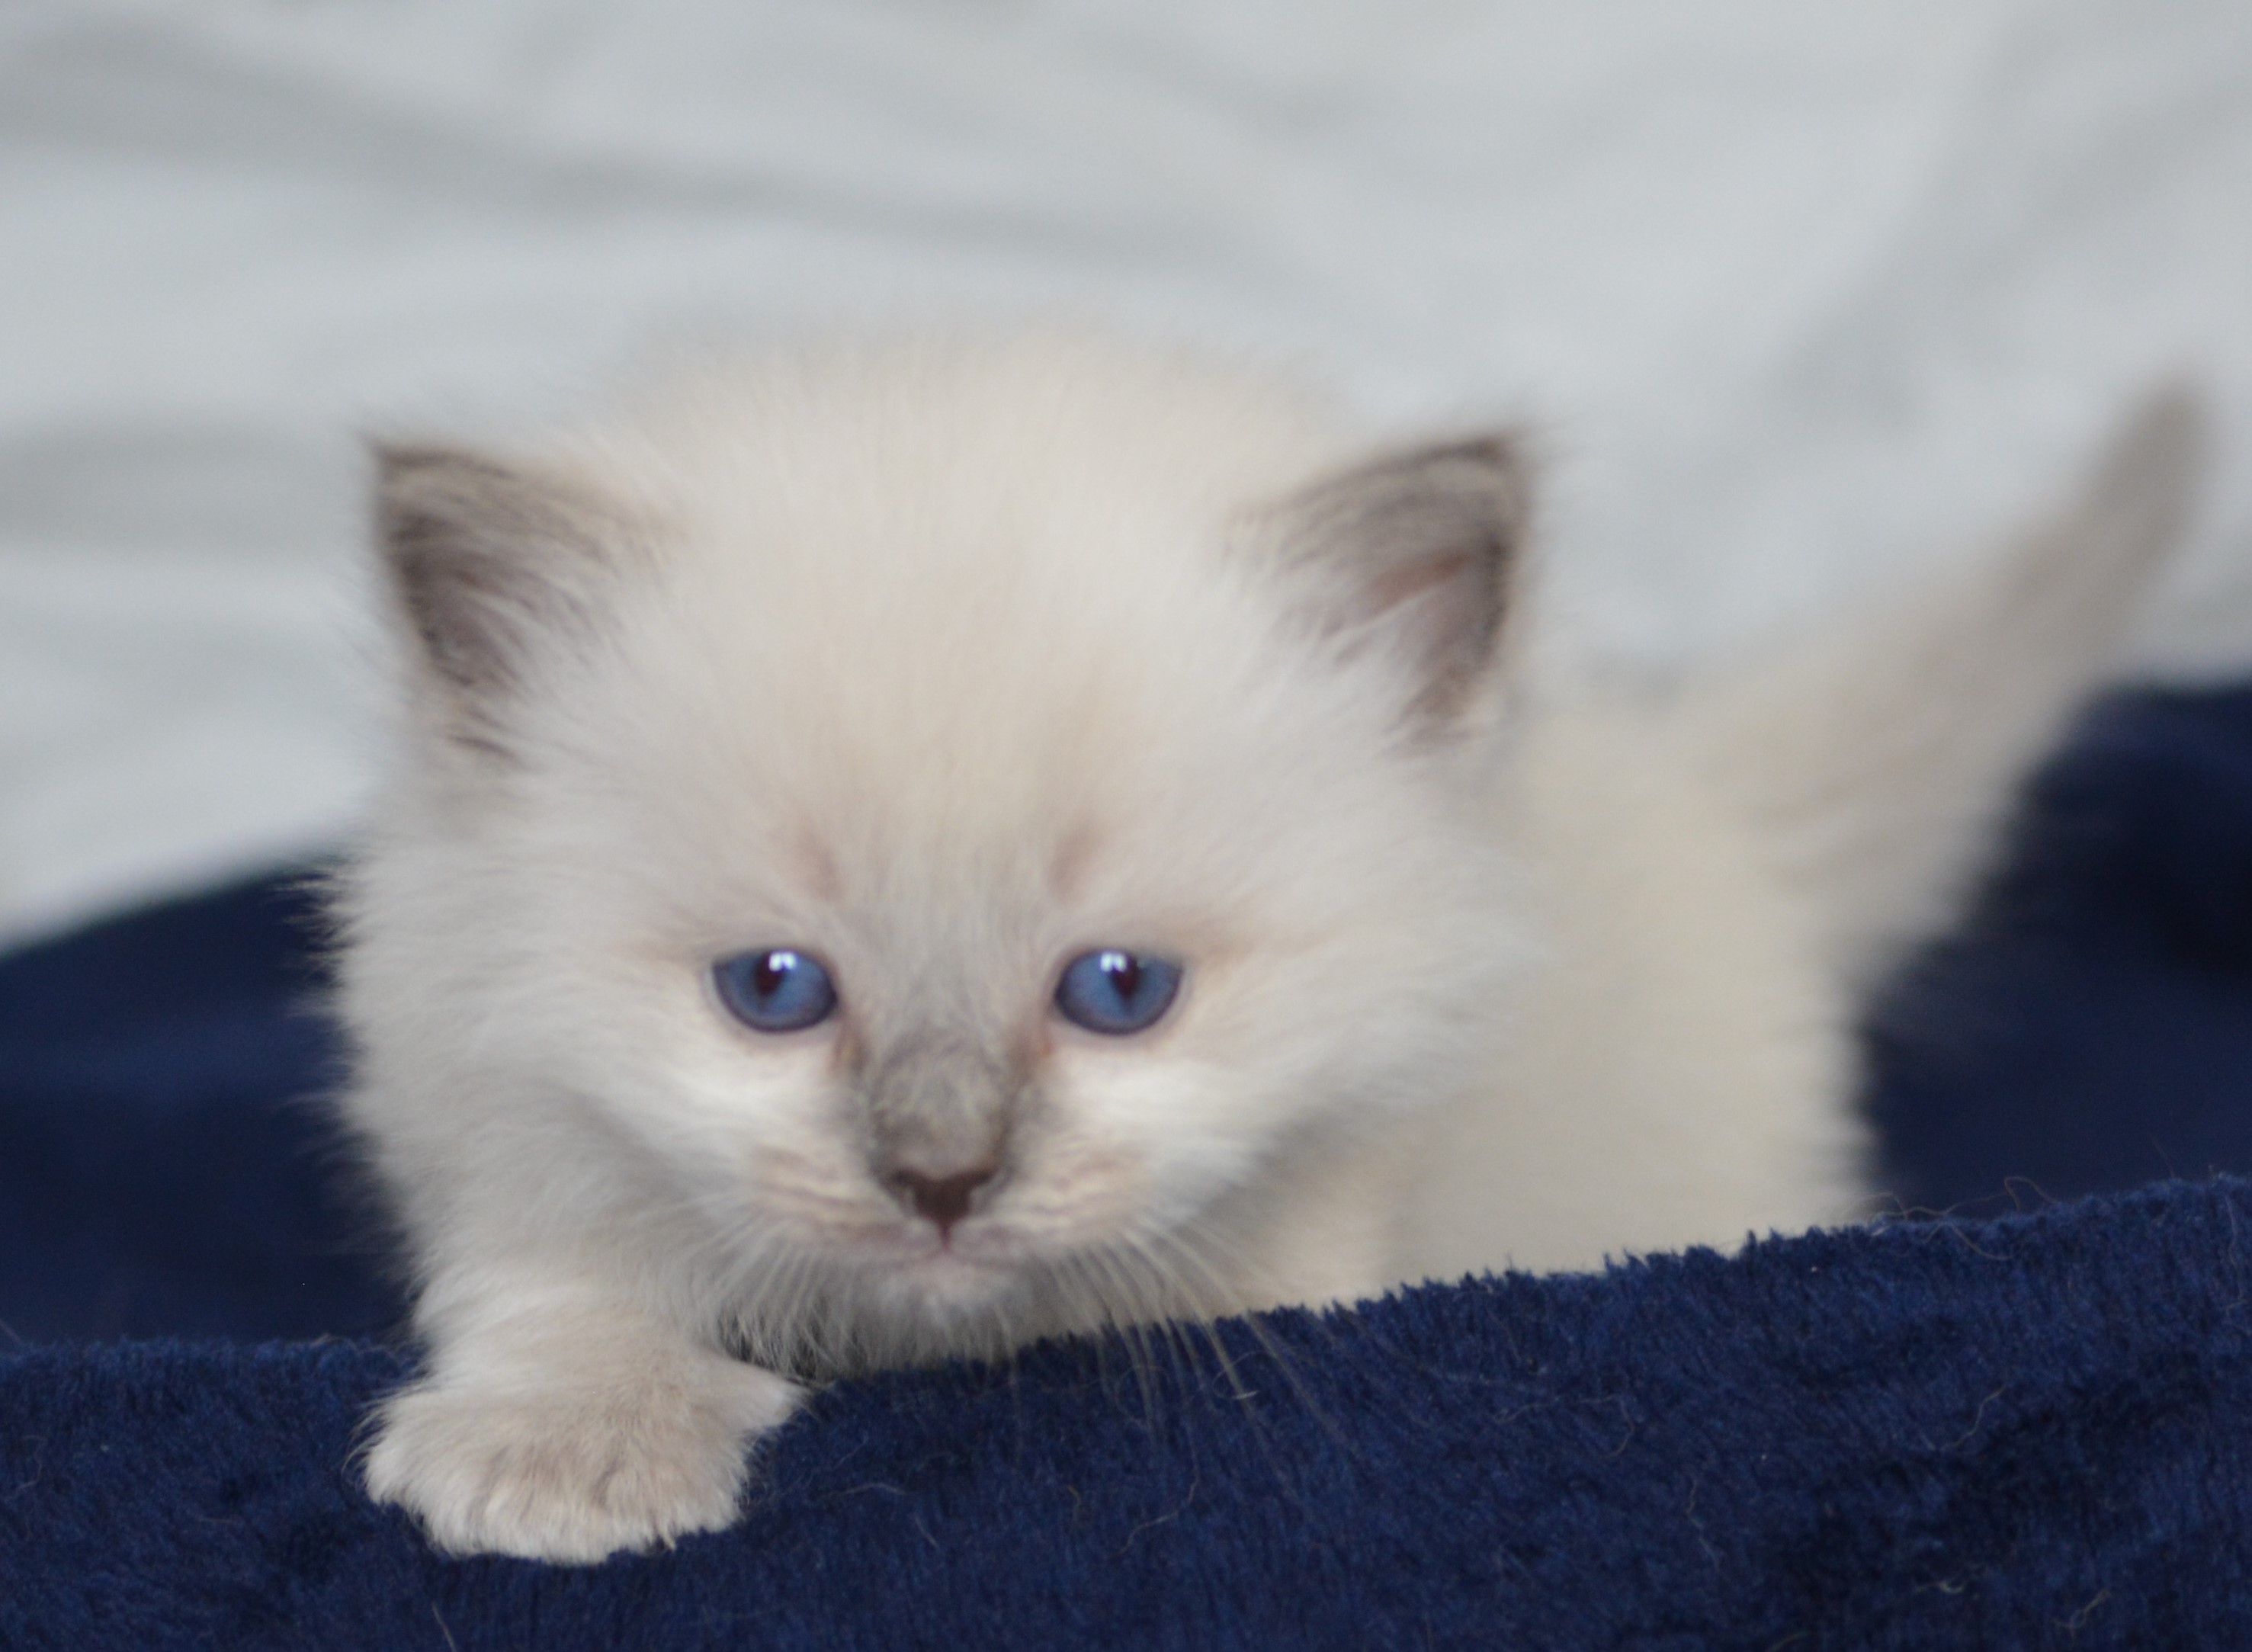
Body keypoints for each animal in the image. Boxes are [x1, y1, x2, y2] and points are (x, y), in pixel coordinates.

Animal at [338, 332, 2198, 1566]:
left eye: (1119, 992)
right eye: (771, 992)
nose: (940, 1180)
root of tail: (1696, 807)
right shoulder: (483, 1069)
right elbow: (554, 1267)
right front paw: (568, 1446)